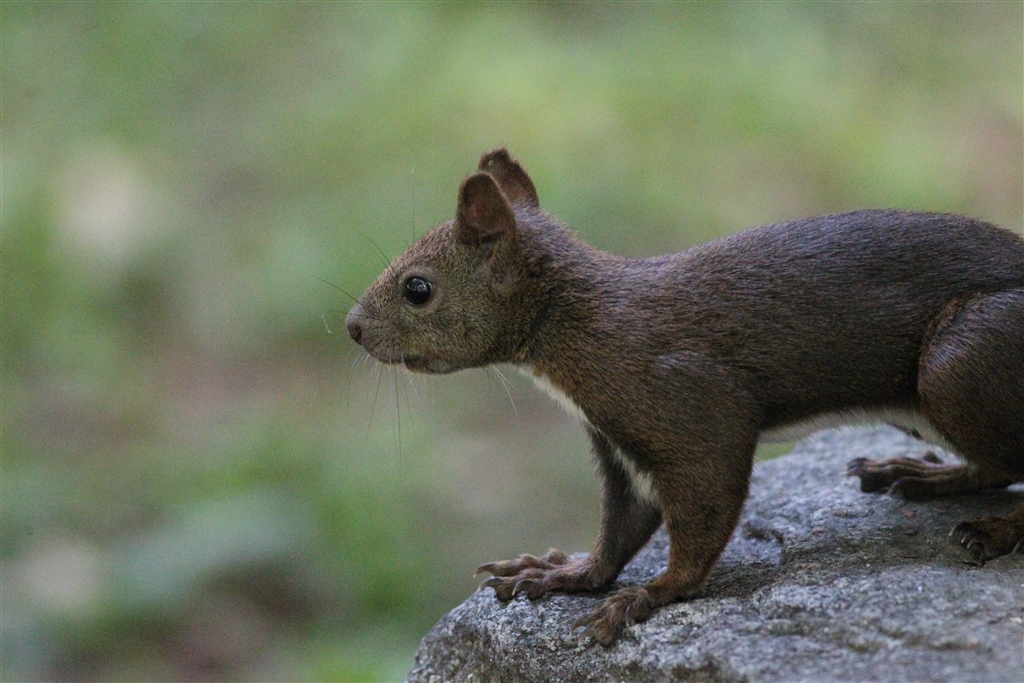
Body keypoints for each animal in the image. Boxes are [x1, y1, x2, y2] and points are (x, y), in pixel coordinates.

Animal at [345, 148, 1024, 646]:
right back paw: (922, 473)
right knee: (998, 465)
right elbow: (622, 528)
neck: (580, 326)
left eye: (417, 288)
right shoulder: (617, 443)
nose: (351, 327)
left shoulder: (691, 404)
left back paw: (992, 531)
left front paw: (651, 595)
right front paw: (561, 573)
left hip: (959, 360)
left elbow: (702, 511)